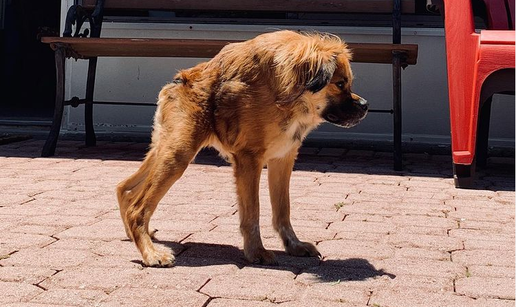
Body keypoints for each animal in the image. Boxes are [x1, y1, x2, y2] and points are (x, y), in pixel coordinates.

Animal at [117, 30, 366, 268]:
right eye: (340, 84)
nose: (365, 106)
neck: (283, 90)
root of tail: (178, 81)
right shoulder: (249, 159)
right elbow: (252, 212)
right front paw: (256, 251)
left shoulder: (283, 158)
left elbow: (282, 210)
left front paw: (293, 245)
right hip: (178, 154)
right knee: (137, 208)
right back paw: (151, 253)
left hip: (165, 148)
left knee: (124, 188)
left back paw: (136, 236)